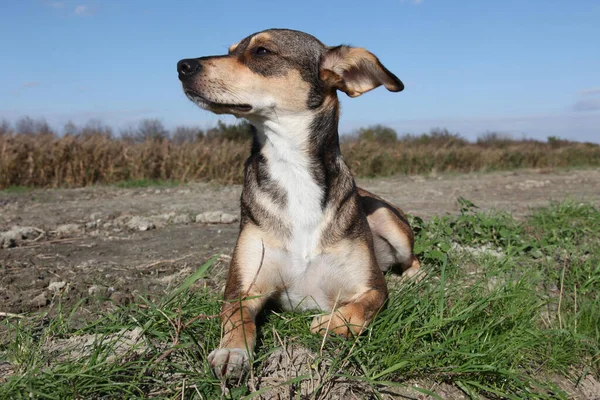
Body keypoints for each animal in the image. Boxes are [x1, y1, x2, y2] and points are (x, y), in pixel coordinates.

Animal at [178, 28, 420, 382]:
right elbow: (237, 318)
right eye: (231, 50)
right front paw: (232, 352)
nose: (182, 65)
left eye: (262, 51)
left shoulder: (372, 287)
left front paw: (329, 323)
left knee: (412, 258)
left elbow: (362, 308)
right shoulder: (242, 289)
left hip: (391, 223)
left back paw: (415, 277)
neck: (292, 167)